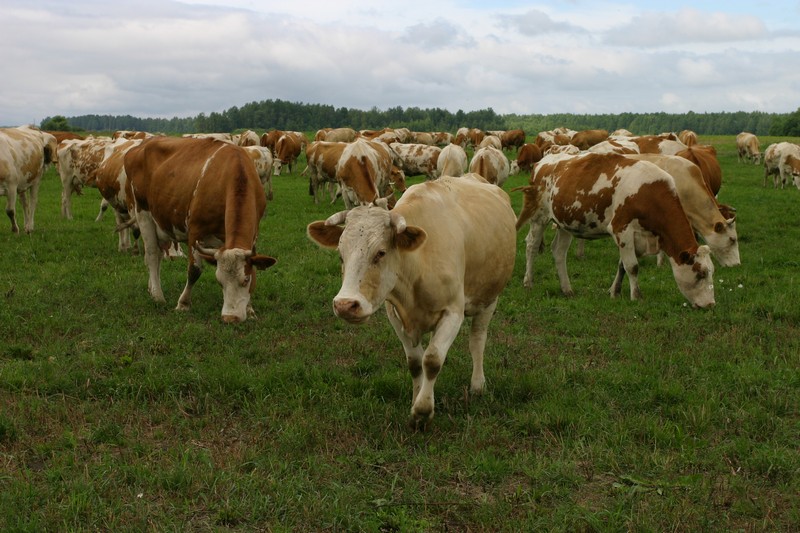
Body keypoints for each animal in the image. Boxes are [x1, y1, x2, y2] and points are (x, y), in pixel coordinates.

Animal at [123, 135, 276, 322]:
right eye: (219, 281)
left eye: (246, 279)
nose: (230, 318)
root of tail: (141, 145)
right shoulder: (195, 232)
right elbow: (194, 270)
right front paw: (183, 304)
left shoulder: (253, 234)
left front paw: (250, 309)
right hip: (143, 213)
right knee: (151, 255)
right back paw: (158, 296)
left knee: (158, 255)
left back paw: (151, 289)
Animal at [306, 175, 520, 428]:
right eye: (341, 254)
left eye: (380, 253)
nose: (345, 305)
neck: (417, 265)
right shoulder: (395, 314)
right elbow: (416, 362)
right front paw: (416, 398)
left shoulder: (453, 312)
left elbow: (433, 360)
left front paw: (423, 410)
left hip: (489, 298)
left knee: (477, 340)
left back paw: (478, 385)